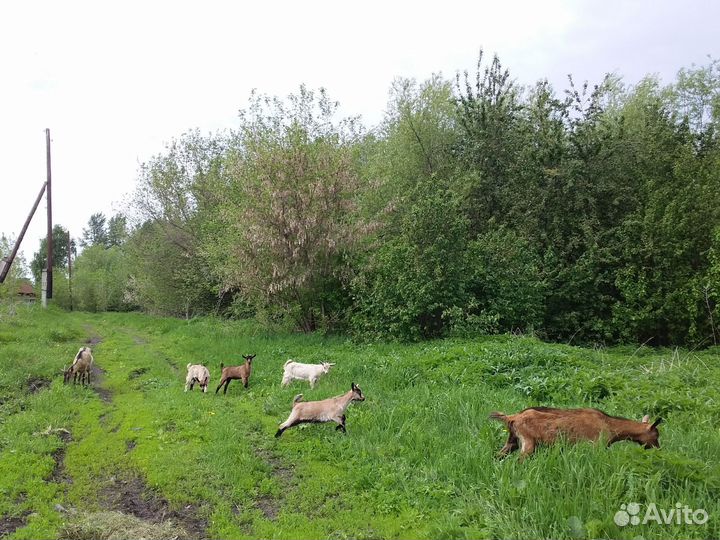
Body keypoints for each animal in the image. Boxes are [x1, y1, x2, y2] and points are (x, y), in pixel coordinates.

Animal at [490, 407, 662, 460]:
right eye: (656, 435)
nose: (658, 449)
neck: (610, 425)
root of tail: (513, 417)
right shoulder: (596, 446)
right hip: (528, 442)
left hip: (512, 441)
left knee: (498, 455)